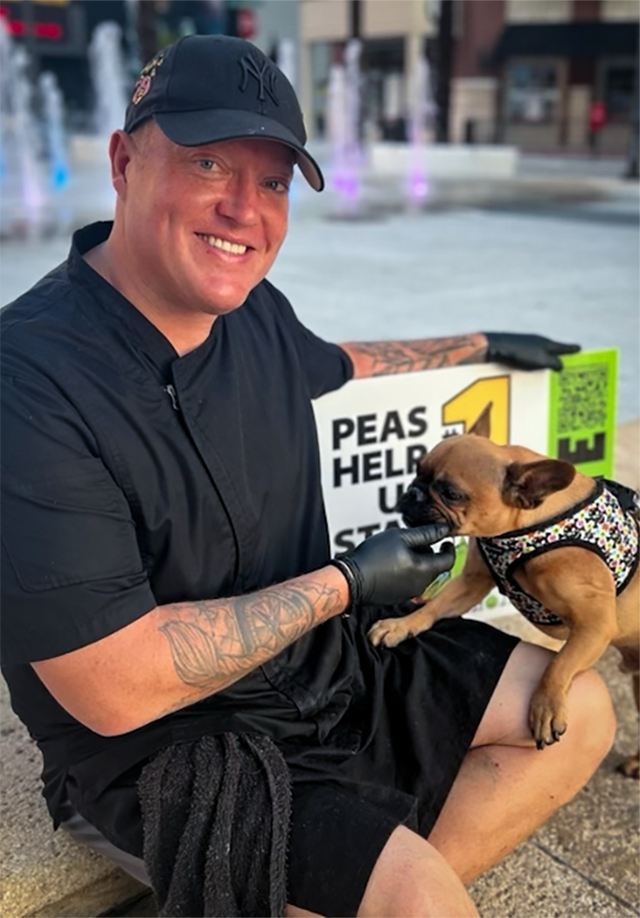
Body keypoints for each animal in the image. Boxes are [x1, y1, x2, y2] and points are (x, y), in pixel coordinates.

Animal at [368, 406, 640, 772]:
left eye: (451, 493)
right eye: (417, 470)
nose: (414, 491)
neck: (524, 526)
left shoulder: (594, 624)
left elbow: (558, 665)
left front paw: (546, 706)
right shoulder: (470, 584)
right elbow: (433, 607)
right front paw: (400, 626)